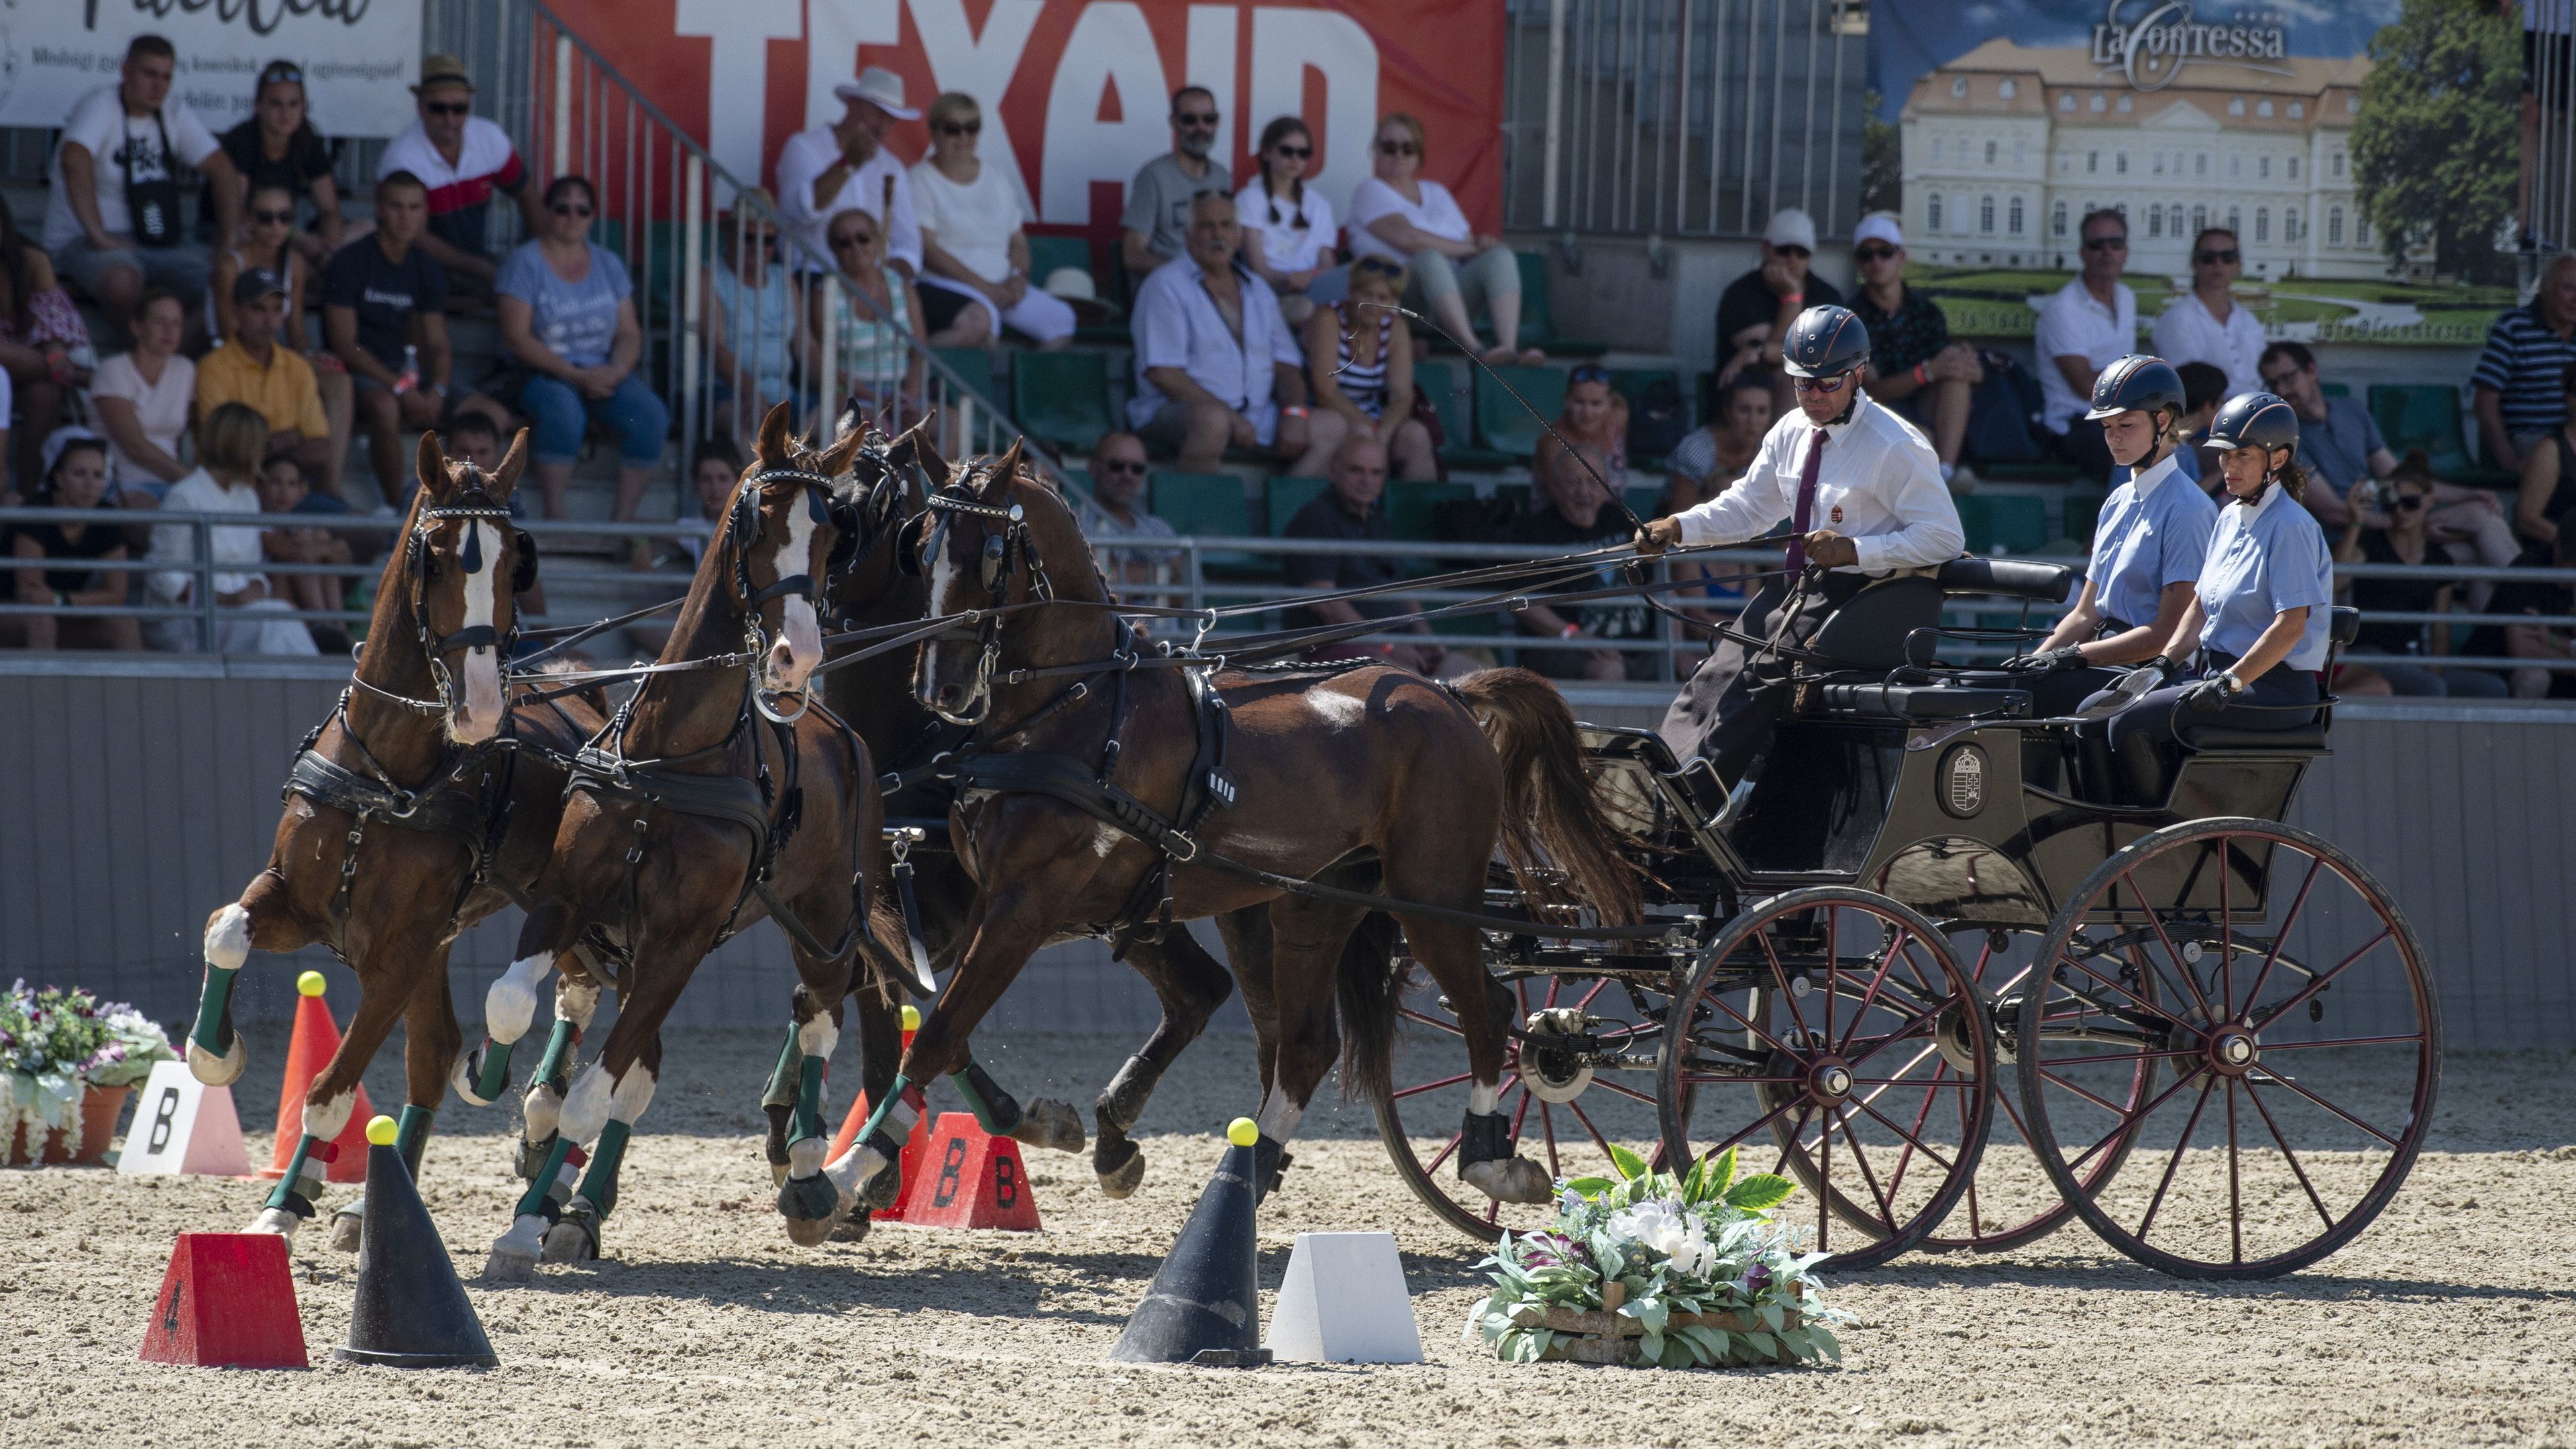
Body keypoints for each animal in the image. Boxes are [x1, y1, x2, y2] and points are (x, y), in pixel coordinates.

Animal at [188, 428, 605, 1242]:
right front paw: (216, 1054)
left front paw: (284, 1206)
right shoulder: (297, 900)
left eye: (514, 561)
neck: (387, 773)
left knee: (592, 1012)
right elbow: (226, 929)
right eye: (433, 558)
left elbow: (331, 1089)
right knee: (448, 1045)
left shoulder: (400, 953)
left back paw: (558, 1169)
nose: (481, 708)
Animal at [824, 445, 1627, 1212]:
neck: (1076, 709)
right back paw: (1250, 1168)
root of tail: (1449, 693)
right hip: (1315, 904)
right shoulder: (1000, 903)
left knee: (1486, 1011)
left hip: (1431, 897)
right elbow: (920, 1010)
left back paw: (1489, 1160)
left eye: (991, 554)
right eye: (920, 547)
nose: (943, 687)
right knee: (1306, 1044)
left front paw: (845, 1177)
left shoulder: (1026, 904)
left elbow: (933, 1033)